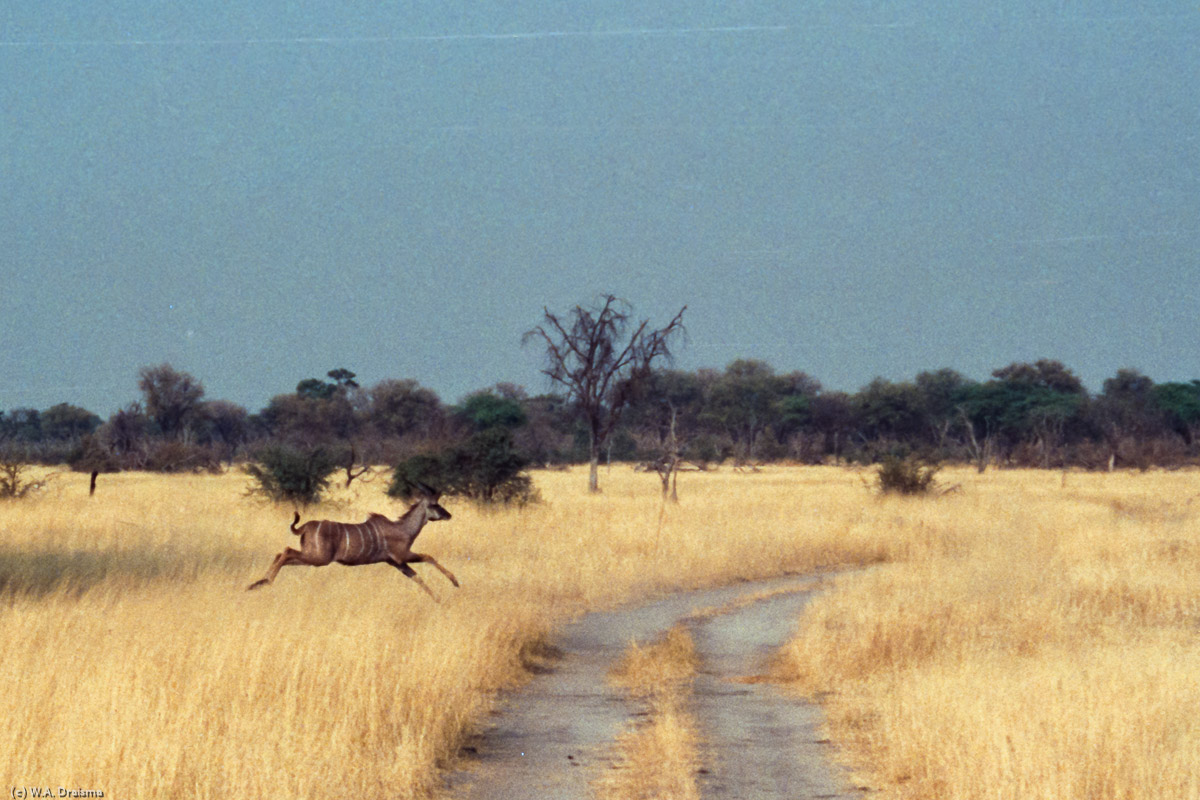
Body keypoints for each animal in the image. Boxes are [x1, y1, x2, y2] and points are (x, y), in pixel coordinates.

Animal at [244, 482, 458, 599]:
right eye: (435, 505)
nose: (449, 515)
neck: (403, 528)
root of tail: (304, 527)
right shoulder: (402, 555)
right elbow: (429, 557)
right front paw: (455, 582)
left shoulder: (396, 563)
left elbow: (417, 577)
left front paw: (438, 599)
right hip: (318, 558)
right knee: (286, 551)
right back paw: (265, 582)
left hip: (312, 557)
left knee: (282, 554)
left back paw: (256, 583)